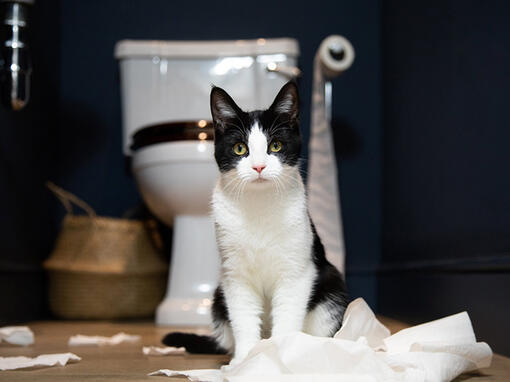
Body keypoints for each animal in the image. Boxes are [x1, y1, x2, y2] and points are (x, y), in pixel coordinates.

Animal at [165, 81, 348, 364]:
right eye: (240, 148)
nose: (259, 167)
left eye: (276, 145)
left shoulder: (297, 271)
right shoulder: (234, 275)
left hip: (332, 288)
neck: (259, 207)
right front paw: (244, 361)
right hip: (218, 296)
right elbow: (243, 317)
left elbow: (287, 314)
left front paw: (280, 354)